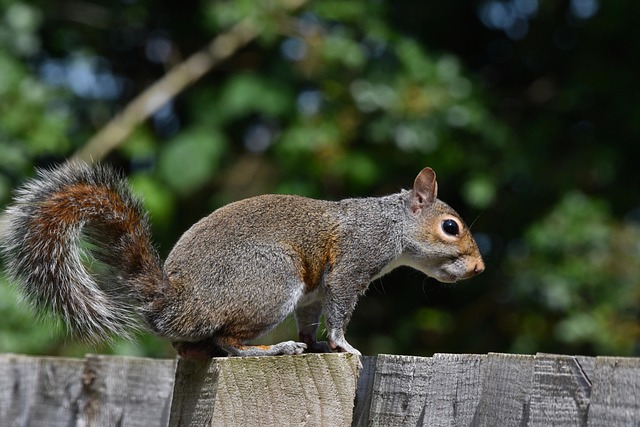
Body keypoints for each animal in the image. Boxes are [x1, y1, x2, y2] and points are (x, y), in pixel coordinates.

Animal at [1, 161, 484, 360]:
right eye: (451, 227)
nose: (479, 268)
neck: (391, 223)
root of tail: (176, 302)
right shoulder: (353, 264)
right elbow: (339, 310)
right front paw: (342, 345)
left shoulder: (314, 292)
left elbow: (311, 317)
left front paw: (315, 343)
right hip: (270, 283)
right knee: (229, 342)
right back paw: (272, 349)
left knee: (196, 348)